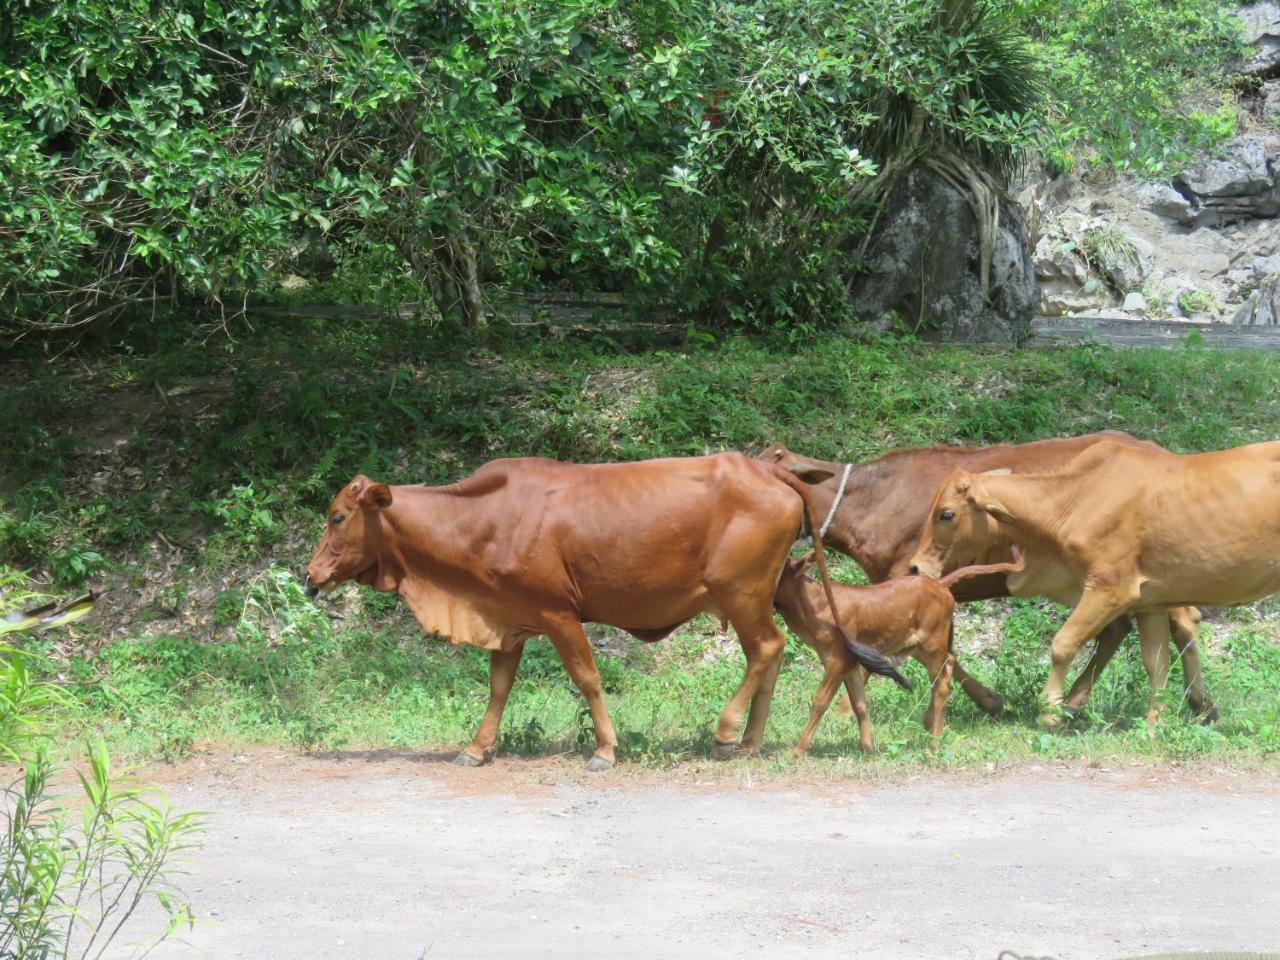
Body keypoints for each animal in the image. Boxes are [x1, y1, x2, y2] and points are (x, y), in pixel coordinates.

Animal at [305, 455, 911, 773]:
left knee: (767, 648)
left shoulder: (556, 613)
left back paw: (726, 731)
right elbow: (499, 687)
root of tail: (766, 468)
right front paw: (477, 747)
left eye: (337, 516)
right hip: (753, 599)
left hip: (741, 595)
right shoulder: (510, 621)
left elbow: (588, 678)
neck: (482, 520)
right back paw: (750, 741)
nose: (309, 577)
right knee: (770, 654)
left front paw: (604, 748)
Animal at [752, 435, 1213, 721]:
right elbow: (943, 652)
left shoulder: (907, 576)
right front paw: (991, 701)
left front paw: (847, 710)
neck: (869, 505)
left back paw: (1195, 701)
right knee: (1122, 628)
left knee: (1180, 617)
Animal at [911, 442, 1280, 727]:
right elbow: (1155, 663)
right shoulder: (1150, 601)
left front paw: (1051, 712)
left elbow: (1063, 644)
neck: (1072, 500)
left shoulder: (1109, 588)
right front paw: (1153, 725)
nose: (915, 566)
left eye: (946, 513)